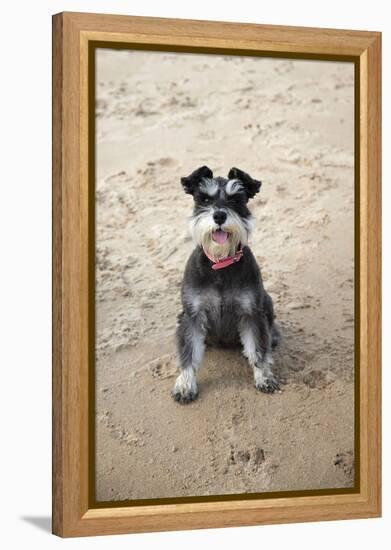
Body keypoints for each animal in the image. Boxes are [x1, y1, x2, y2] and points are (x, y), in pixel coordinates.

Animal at [173, 166, 280, 404]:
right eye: (204, 199)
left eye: (235, 200)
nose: (219, 215)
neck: (220, 264)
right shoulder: (192, 315)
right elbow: (188, 352)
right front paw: (185, 384)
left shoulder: (251, 313)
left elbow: (258, 349)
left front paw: (264, 377)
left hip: (266, 302)